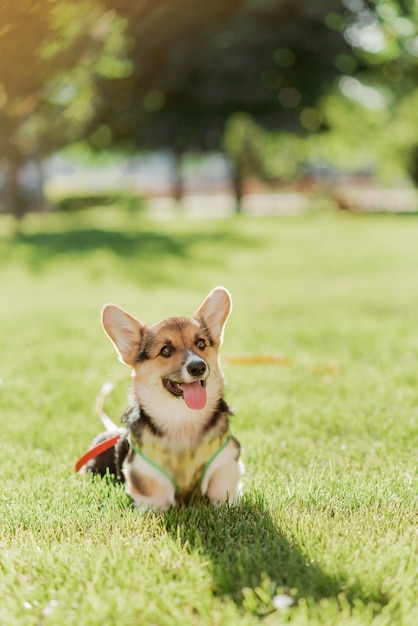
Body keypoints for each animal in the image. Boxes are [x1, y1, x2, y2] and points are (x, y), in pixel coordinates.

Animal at [76, 286, 243, 510]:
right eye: (165, 350)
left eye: (201, 343)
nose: (198, 367)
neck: (182, 419)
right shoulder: (145, 473)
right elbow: (154, 499)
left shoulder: (226, 460)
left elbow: (223, 490)